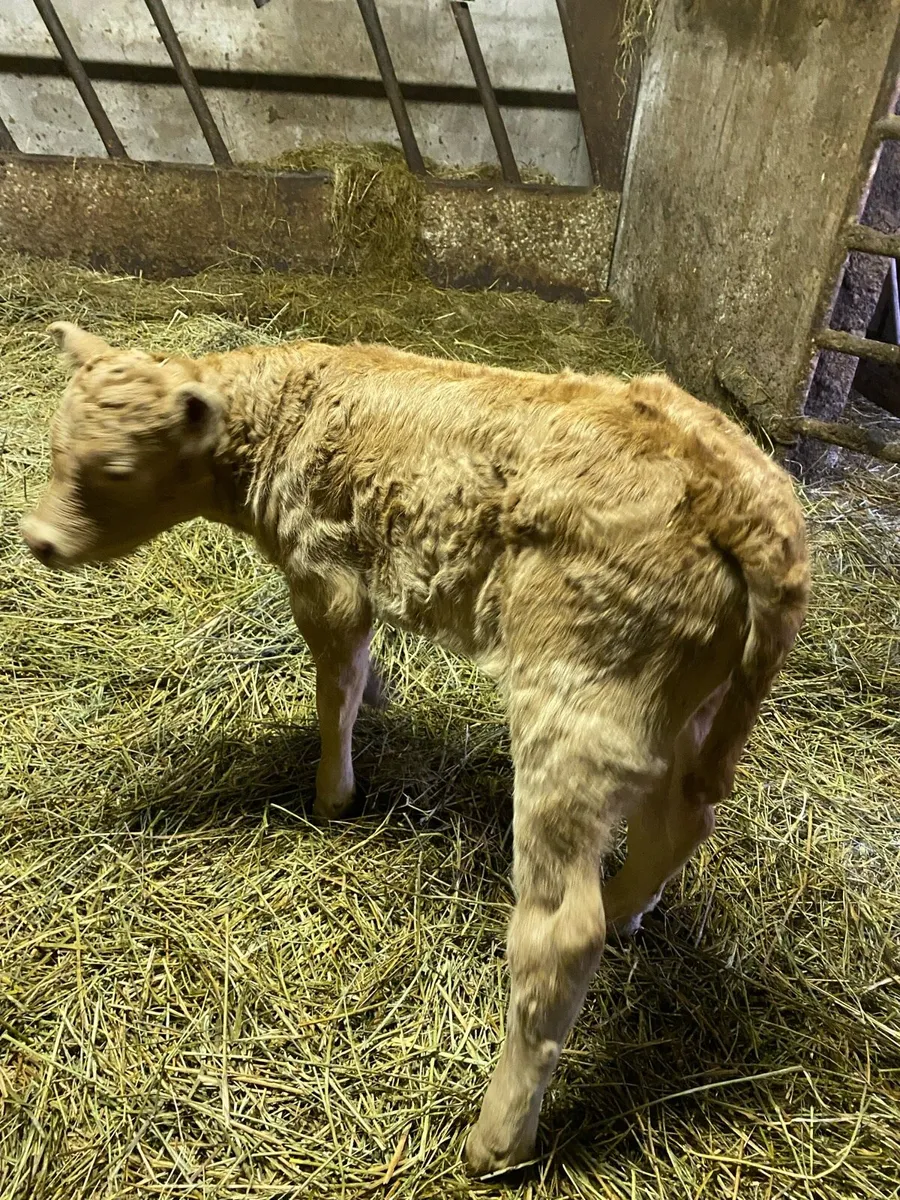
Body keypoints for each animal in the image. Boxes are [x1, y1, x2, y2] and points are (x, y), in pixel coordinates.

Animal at [21, 322, 809, 1176]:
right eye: (57, 444)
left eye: (116, 468)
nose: (36, 540)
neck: (285, 417)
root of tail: (746, 498)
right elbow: (361, 677)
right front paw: (378, 705)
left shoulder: (325, 577)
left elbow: (335, 688)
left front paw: (333, 793)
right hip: (688, 706)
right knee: (682, 821)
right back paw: (630, 909)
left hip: (579, 704)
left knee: (563, 933)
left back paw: (497, 1140)